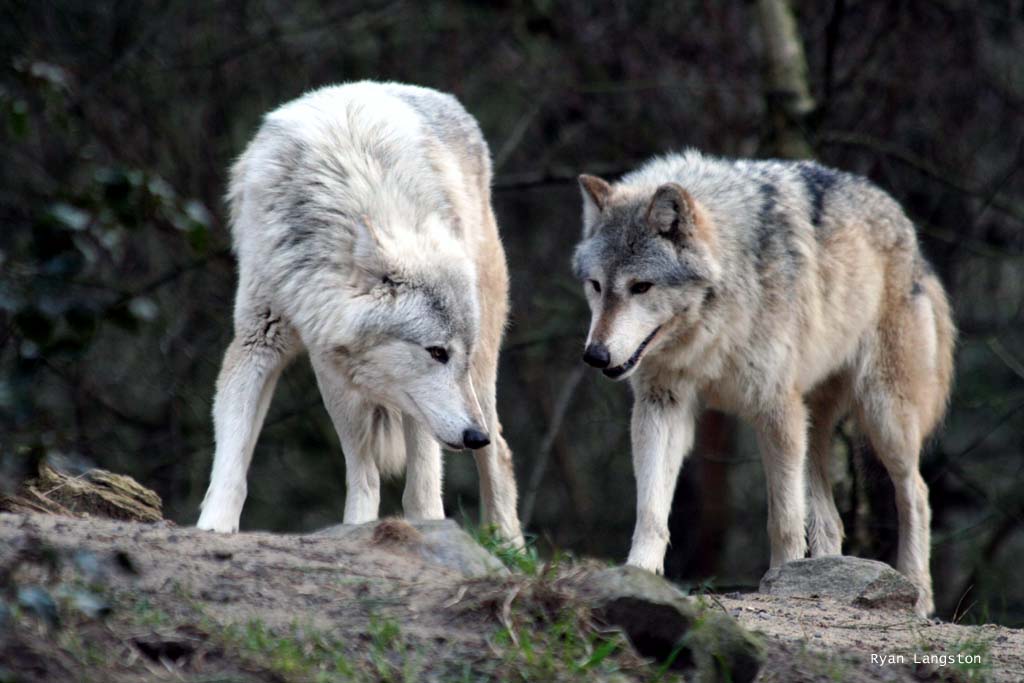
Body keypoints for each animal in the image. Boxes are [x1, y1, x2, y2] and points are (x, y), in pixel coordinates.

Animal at [196, 81, 524, 548]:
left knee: (498, 452)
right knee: (365, 471)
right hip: (340, 382)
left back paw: (507, 545)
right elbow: (232, 458)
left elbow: (423, 485)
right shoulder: (259, 338)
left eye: (451, 355)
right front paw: (214, 527)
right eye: (437, 352)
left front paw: (427, 526)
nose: (471, 436)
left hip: (473, 376)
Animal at [573, 150, 954, 614]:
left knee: (916, 493)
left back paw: (918, 593)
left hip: (884, 419)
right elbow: (651, 510)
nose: (595, 355)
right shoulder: (661, 404)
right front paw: (639, 575)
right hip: (814, 425)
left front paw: (785, 581)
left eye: (641, 287)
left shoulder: (775, 409)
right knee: (831, 519)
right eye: (596, 286)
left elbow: (785, 520)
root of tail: (909, 233)